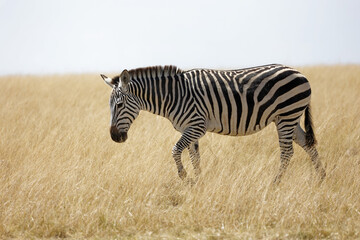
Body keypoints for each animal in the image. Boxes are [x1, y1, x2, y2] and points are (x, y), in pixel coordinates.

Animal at [100, 64, 326, 184]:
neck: (174, 95)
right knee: (308, 144)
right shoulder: (190, 129)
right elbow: (194, 157)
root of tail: (299, 73)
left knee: (287, 152)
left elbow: (175, 150)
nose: (115, 137)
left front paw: (185, 177)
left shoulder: (196, 126)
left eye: (119, 105)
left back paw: (275, 183)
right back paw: (321, 178)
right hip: (288, 118)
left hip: (287, 115)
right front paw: (199, 182)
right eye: (110, 106)